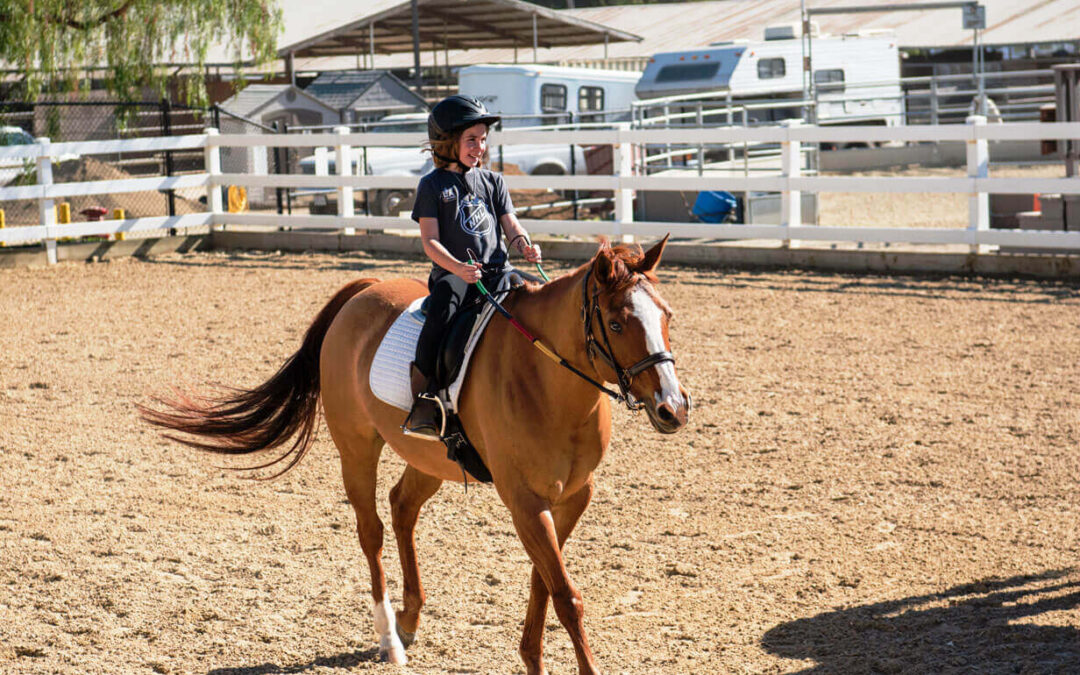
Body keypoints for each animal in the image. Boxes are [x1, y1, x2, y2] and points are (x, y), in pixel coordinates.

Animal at [140, 236, 691, 675]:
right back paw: (390, 637)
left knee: (402, 505)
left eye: (667, 316)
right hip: (356, 448)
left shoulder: (573, 496)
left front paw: (531, 658)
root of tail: (364, 291)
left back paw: (410, 616)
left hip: (429, 459)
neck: (548, 380)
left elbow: (544, 582)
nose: (673, 407)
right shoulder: (525, 500)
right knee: (371, 531)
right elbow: (566, 596)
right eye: (617, 323)